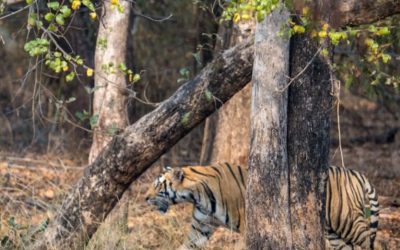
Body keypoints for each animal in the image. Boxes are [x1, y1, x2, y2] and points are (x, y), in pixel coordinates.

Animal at [144, 163, 378, 249]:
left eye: (157, 186)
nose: (145, 198)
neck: (195, 194)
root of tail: (355, 172)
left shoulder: (250, 223)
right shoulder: (200, 226)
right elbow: (188, 245)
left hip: (348, 221)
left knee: (370, 241)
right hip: (334, 232)